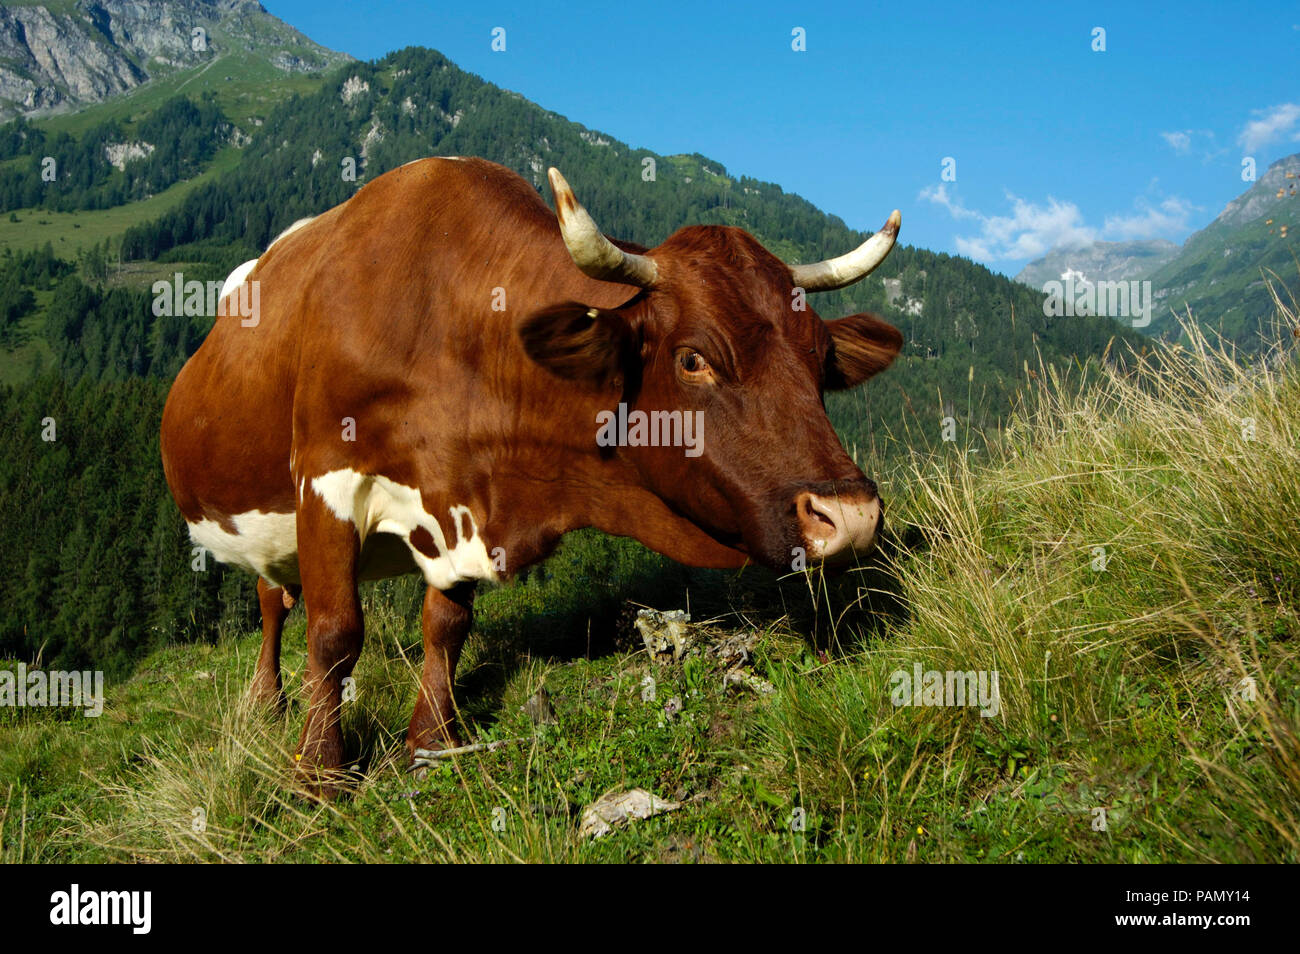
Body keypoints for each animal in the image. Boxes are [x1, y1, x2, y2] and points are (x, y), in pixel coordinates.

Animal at [157, 155, 899, 790]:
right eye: (693, 359)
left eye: (821, 356)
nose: (851, 516)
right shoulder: (325, 481)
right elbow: (336, 633)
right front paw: (319, 774)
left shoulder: (458, 511)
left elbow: (447, 624)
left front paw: (431, 740)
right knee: (271, 602)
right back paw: (266, 701)